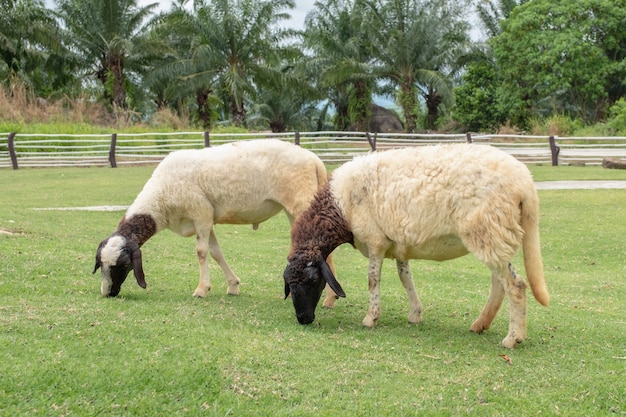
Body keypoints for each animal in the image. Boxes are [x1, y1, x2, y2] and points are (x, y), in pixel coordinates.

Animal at [92, 139, 336, 300]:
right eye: (100, 263)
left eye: (123, 264)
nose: (107, 293)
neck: (160, 198)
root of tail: (315, 160)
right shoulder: (206, 220)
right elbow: (216, 252)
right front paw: (233, 286)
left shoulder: (200, 212)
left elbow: (201, 252)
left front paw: (201, 289)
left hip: (301, 204)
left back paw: (329, 299)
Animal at [282, 143, 544, 348]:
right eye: (288, 283)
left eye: (313, 280)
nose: (303, 318)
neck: (339, 206)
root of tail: (525, 181)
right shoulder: (399, 244)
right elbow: (405, 278)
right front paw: (415, 314)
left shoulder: (375, 241)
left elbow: (373, 280)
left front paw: (371, 318)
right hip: (493, 235)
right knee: (500, 284)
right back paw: (481, 325)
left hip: (489, 231)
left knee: (515, 285)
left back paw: (512, 338)